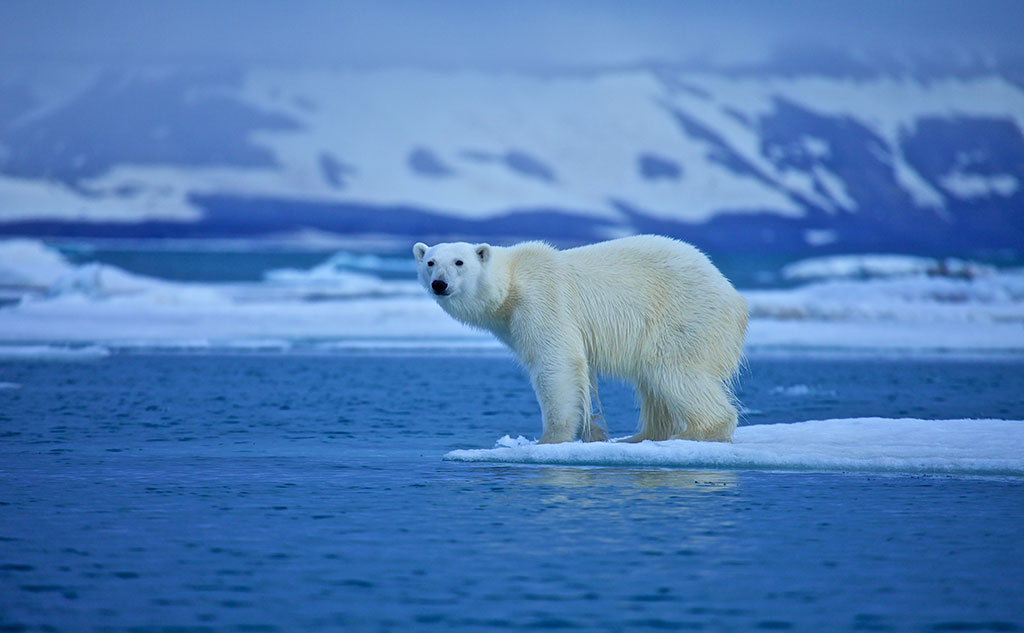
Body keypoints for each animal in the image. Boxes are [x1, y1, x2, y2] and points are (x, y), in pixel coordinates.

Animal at [411, 232, 749, 444]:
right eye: (430, 262)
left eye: (459, 262)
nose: (439, 284)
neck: (510, 286)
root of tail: (735, 297)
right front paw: (594, 431)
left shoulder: (542, 300)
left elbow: (556, 362)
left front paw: (549, 439)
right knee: (652, 383)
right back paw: (639, 436)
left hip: (684, 315)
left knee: (674, 371)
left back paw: (698, 431)